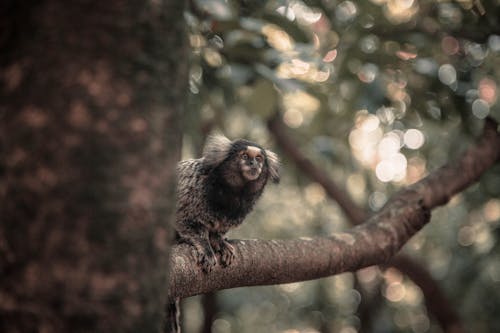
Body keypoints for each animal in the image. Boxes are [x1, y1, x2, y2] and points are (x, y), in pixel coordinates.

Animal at [166, 134, 280, 330]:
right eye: (244, 156)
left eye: (259, 158)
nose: (253, 164)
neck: (231, 193)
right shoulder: (190, 191)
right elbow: (184, 220)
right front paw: (205, 246)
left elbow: (218, 231)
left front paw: (219, 242)